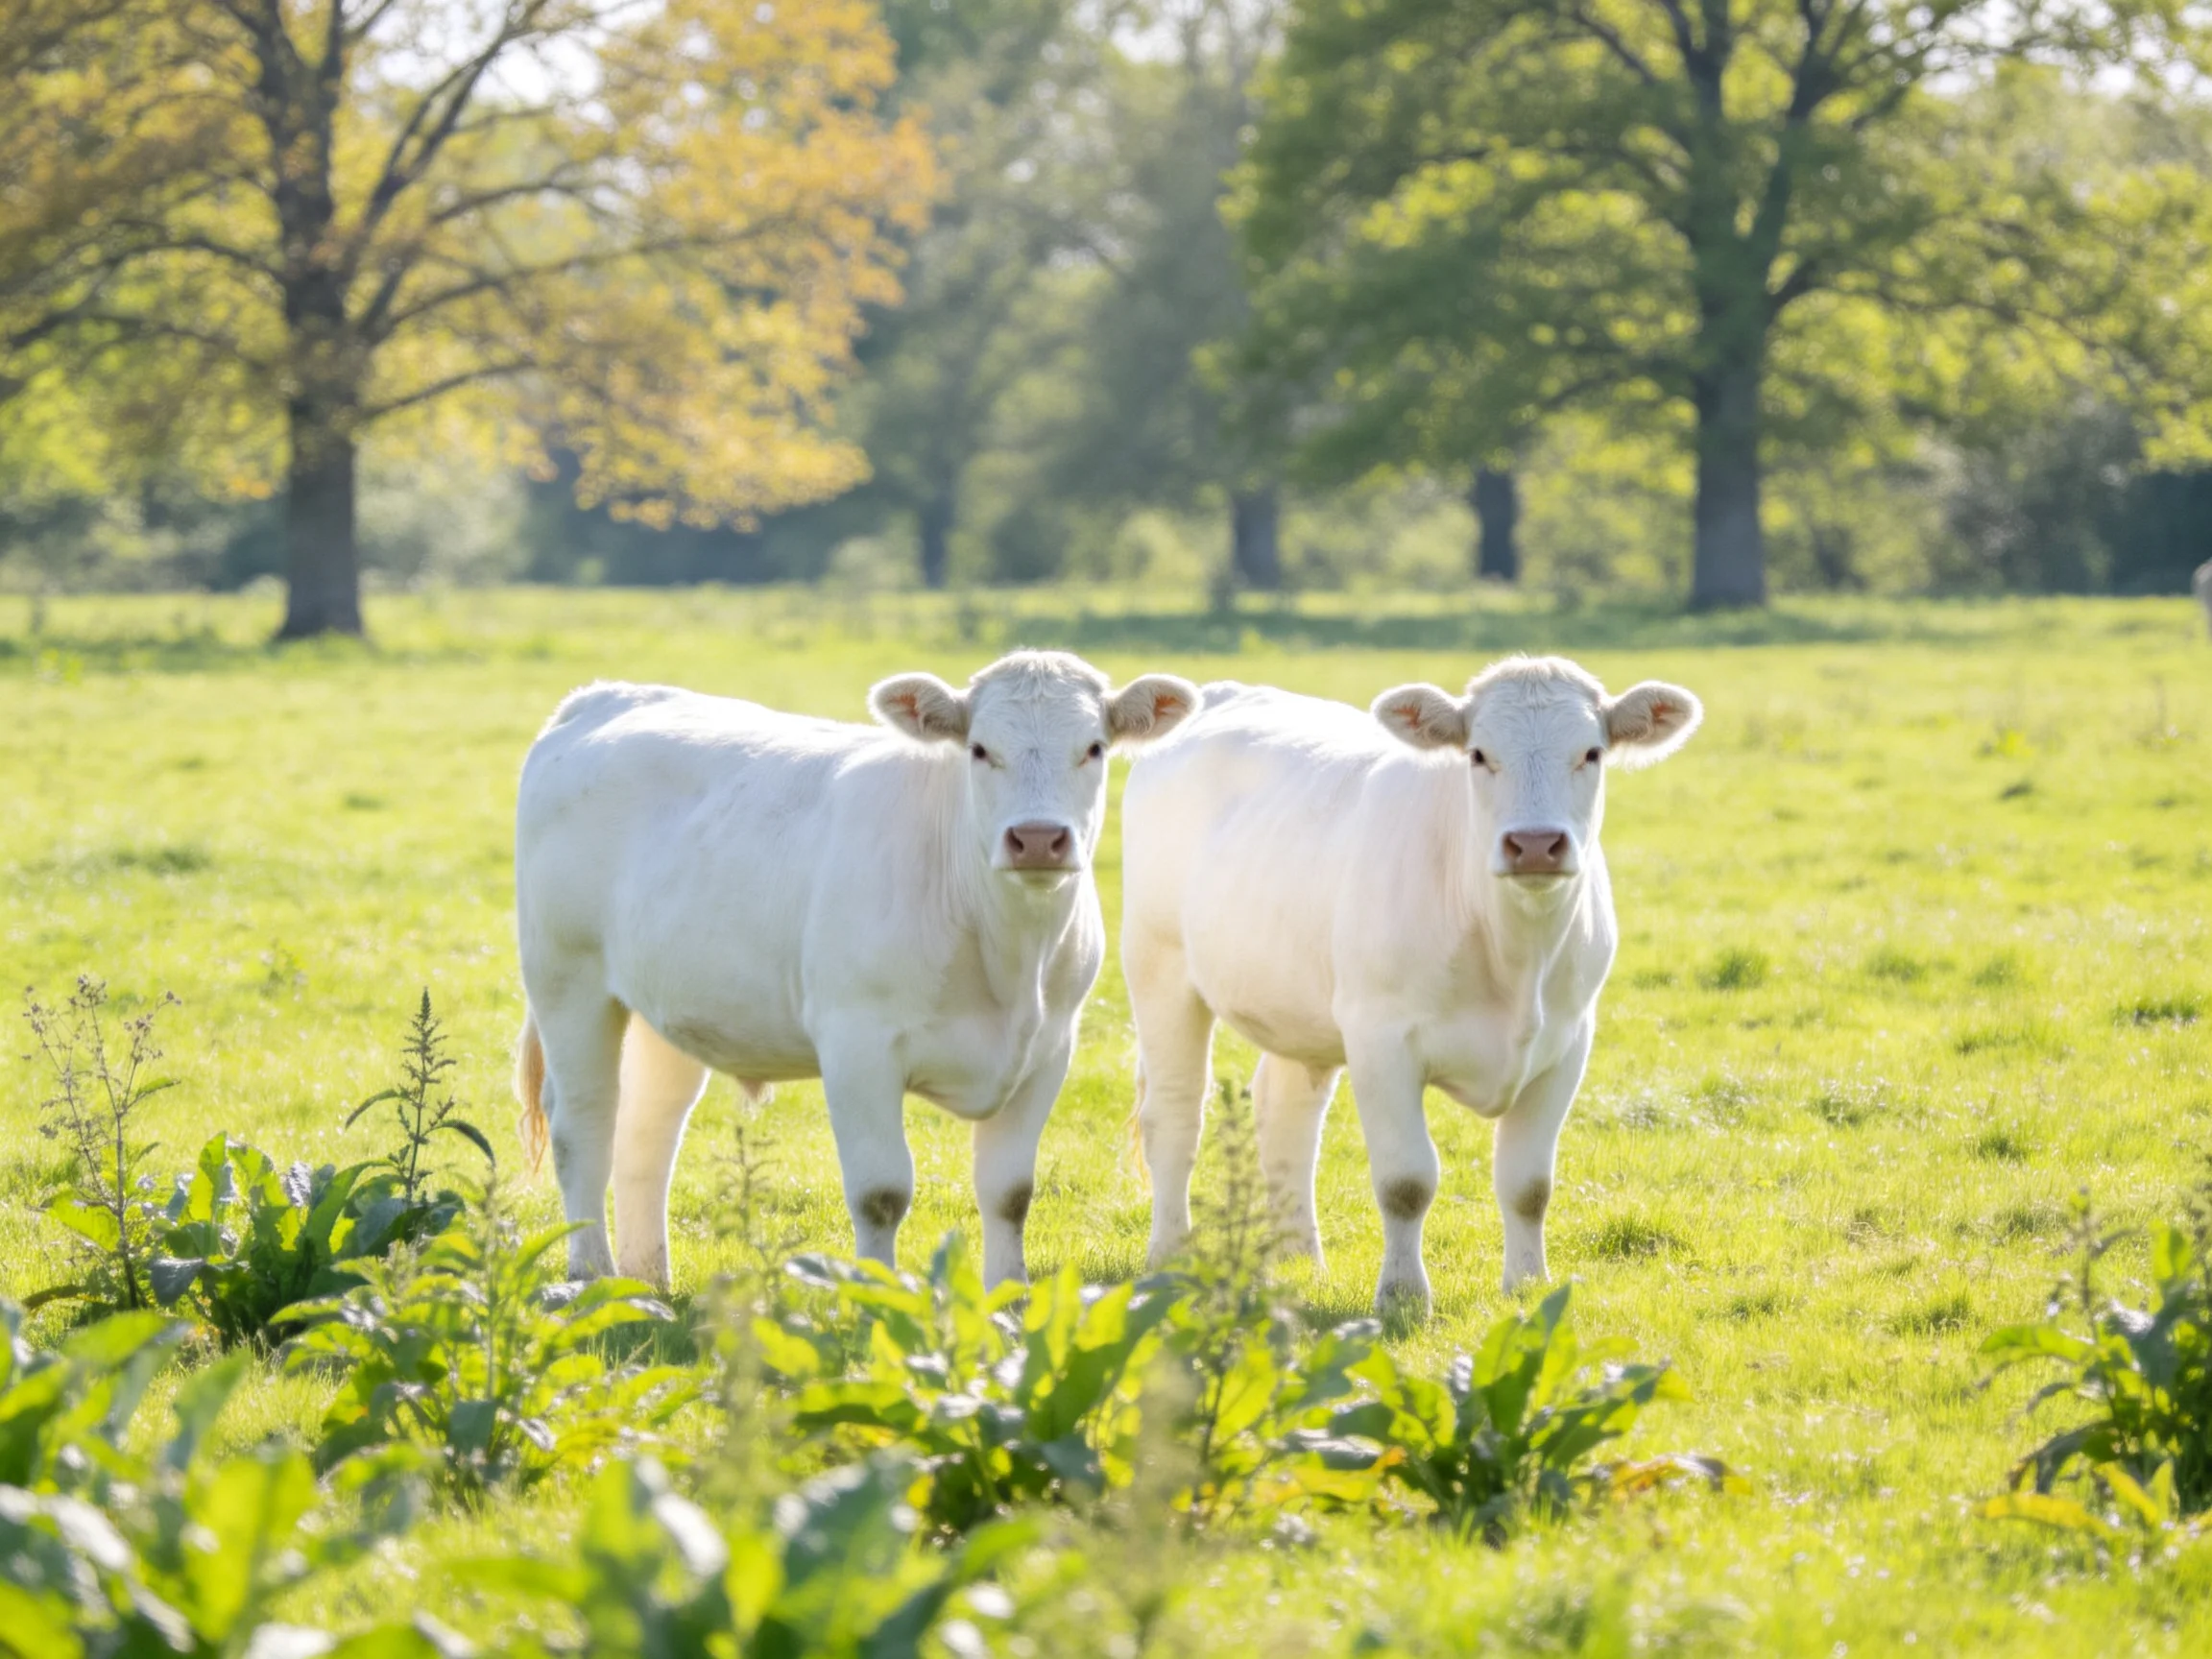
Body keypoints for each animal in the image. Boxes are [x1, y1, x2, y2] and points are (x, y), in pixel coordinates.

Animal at [513, 650, 1199, 1288]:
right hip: (567, 982)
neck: (1006, 956)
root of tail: (603, 696)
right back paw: (591, 1272)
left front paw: (1006, 1294)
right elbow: (881, 1192)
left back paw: (648, 1277)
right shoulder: (857, 1045)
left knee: (648, 1131)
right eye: (979, 749)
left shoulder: (1049, 1049)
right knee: (583, 1122)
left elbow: (1009, 1191)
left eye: (1094, 748)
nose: (1036, 838)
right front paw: (876, 1295)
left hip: (665, 1006)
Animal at [1120, 656, 1700, 1315]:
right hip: (1159, 965)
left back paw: (1299, 1259)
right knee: (1174, 1113)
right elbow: (1406, 1181)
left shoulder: (1569, 1042)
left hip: (1296, 1002)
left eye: (1592, 752)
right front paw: (1401, 1297)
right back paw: (1170, 1256)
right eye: (1478, 754)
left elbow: (1529, 1184)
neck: (1513, 955)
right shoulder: (1380, 1038)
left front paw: (1528, 1285)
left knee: (1286, 1115)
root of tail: (1221, 691)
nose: (1534, 844)